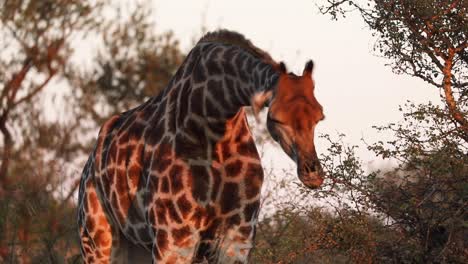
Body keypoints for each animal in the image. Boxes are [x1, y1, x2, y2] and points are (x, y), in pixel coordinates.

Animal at [77, 29, 326, 262]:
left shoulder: (239, 235)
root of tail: (88, 166)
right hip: (97, 238)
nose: (312, 174)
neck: (214, 120)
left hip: (136, 246)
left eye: (319, 116)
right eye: (276, 118)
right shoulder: (174, 237)